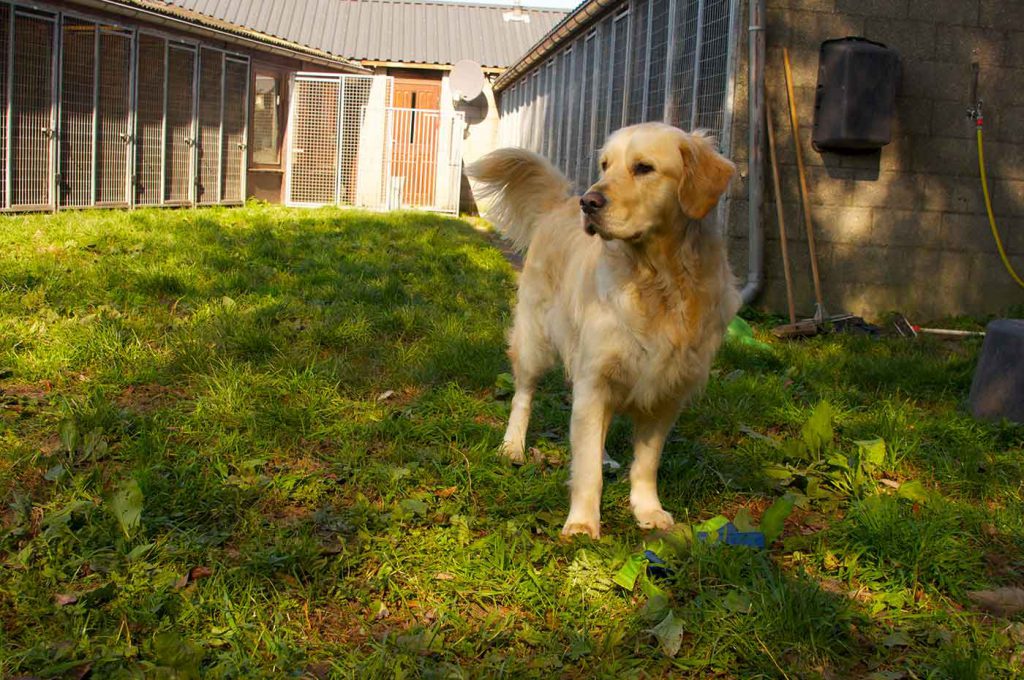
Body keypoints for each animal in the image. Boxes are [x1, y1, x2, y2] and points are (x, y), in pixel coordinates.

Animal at [468, 123, 741, 536]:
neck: (657, 282)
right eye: (605, 165)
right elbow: (586, 470)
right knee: (523, 395)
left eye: (644, 168)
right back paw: (512, 445)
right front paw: (582, 523)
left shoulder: (666, 392)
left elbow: (645, 463)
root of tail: (560, 203)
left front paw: (648, 510)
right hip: (535, 340)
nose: (589, 202)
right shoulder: (594, 378)